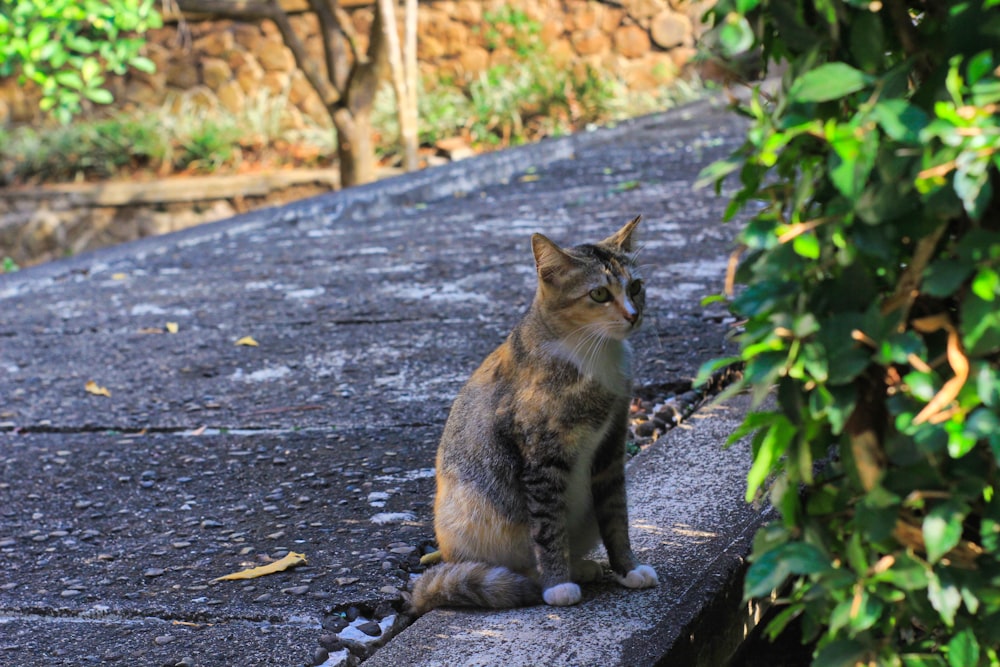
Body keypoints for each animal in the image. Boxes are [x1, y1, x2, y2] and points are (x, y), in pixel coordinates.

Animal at [410, 215, 660, 616]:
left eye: (636, 287)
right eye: (599, 294)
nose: (634, 315)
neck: (592, 353)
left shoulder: (611, 447)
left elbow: (616, 515)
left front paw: (628, 569)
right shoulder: (541, 456)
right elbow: (547, 526)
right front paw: (557, 585)